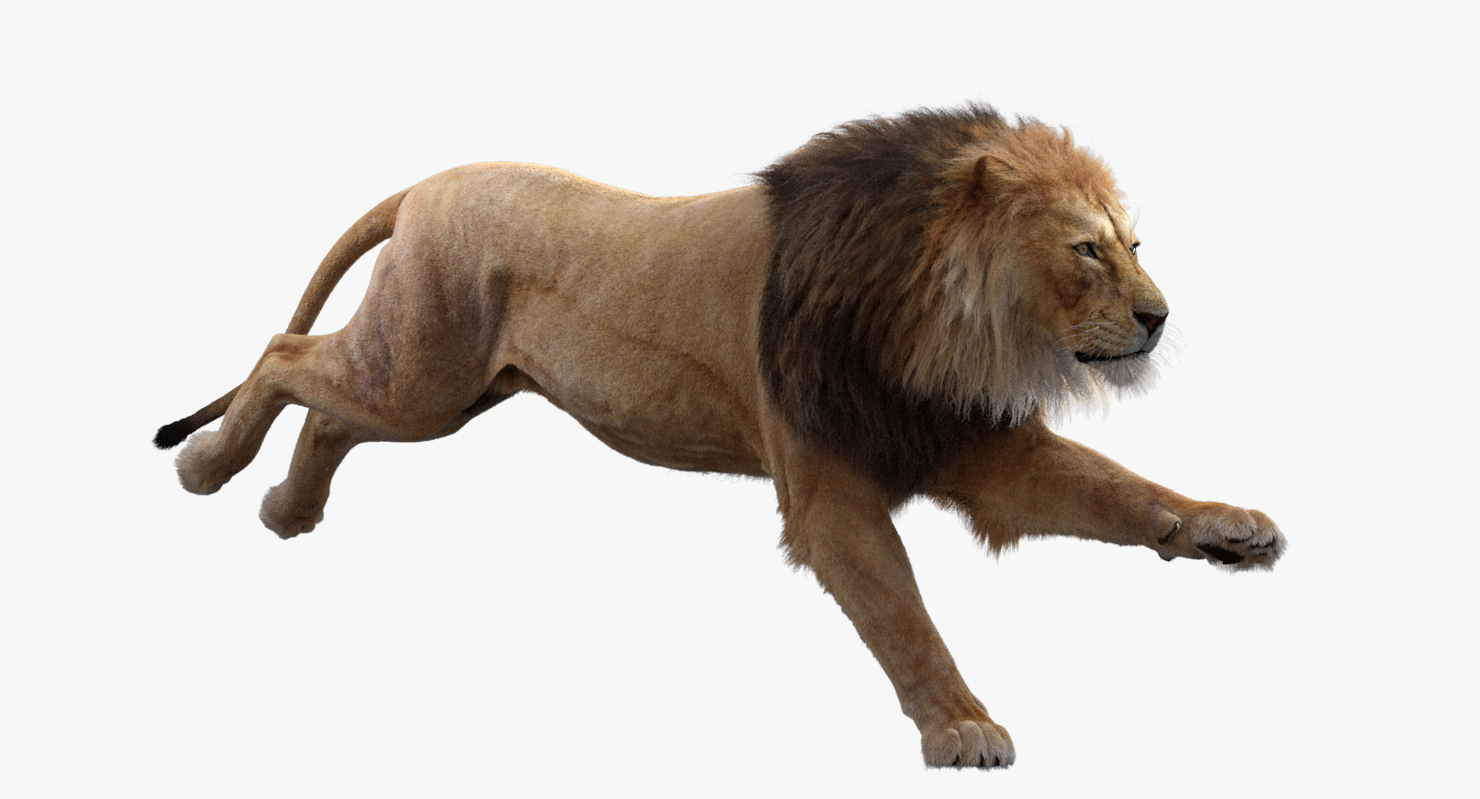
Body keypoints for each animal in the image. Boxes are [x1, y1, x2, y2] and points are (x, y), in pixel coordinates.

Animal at [156, 104, 1286, 769]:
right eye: (1088, 251)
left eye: (1136, 243)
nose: (1159, 317)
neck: (935, 321)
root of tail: (428, 183)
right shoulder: (829, 487)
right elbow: (902, 611)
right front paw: (962, 723)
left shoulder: (969, 443)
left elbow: (1122, 489)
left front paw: (1230, 529)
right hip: (421, 377)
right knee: (285, 355)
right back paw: (210, 468)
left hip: (441, 385)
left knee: (327, 411)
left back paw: (285, 509)